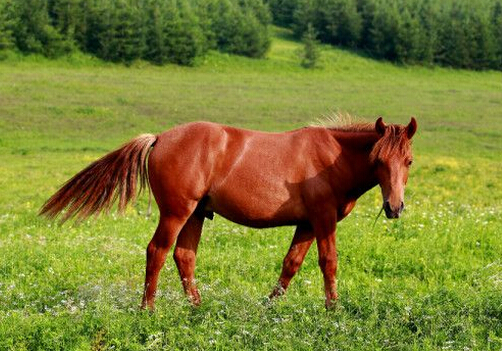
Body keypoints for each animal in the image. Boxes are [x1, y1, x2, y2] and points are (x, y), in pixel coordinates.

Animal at [39, 117, 418, 310]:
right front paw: (332, 311)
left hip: (195, 215)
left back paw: (197, 308)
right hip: (176, 212)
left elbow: (291, 264)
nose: (394, 207)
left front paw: (268, 307)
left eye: (409, 161)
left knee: (184, 256)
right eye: (377, 161)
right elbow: (329, 263)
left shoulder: (307, 223)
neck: (331, 158)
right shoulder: (322, 219)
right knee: (157, 251)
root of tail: (160, 137)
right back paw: (148, 309)